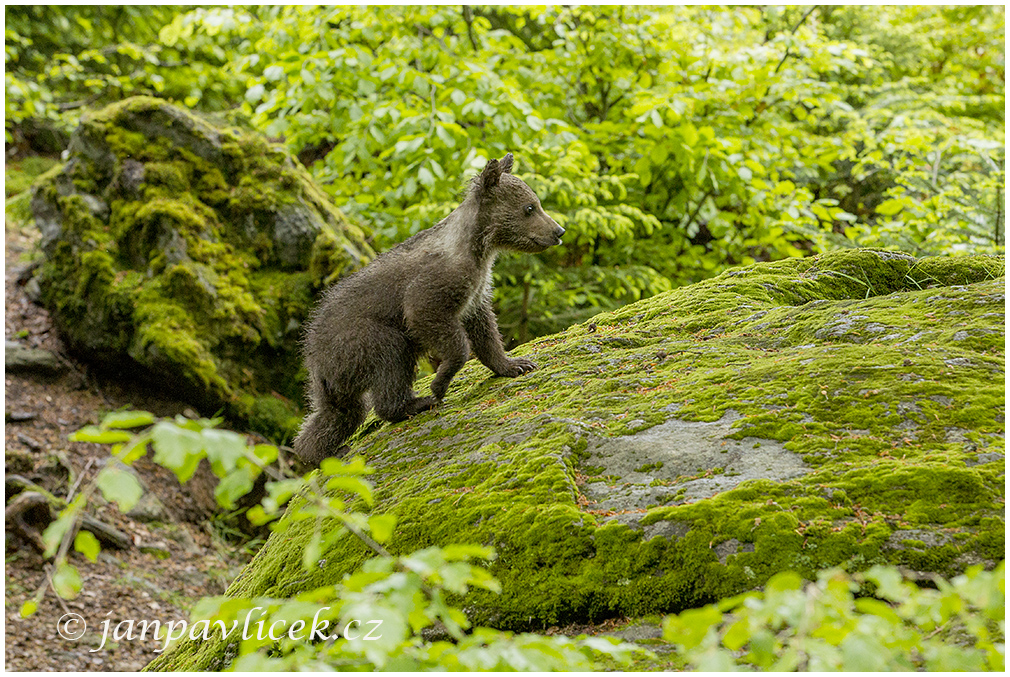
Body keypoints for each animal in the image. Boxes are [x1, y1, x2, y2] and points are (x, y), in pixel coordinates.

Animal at [292, 153, 565, 466]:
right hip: (360, 338)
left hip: (339, 378)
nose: (558, 231)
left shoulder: (477, 290)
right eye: (530, 207)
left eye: (537, 202)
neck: (478, 248)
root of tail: (312, 355)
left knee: (339, 413)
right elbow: (432, 321)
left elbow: (485, 330)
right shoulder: (434, 284)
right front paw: (439, 383)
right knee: (390, 359)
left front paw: (515, 364)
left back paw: (319, 451)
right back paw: (414, 403)